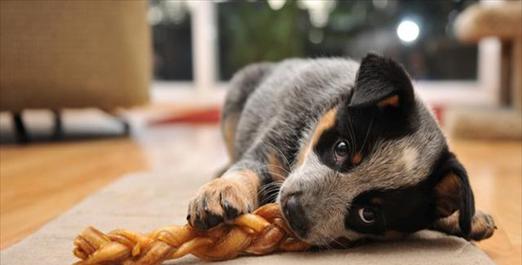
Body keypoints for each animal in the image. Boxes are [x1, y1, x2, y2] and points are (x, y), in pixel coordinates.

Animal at [185, 54, 494, 245]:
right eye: (342, 148)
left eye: (367, 214)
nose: (293, 209)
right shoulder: (268, 148)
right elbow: (246, 169)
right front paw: (220, 191)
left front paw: (466, 217)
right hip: (234, 102)